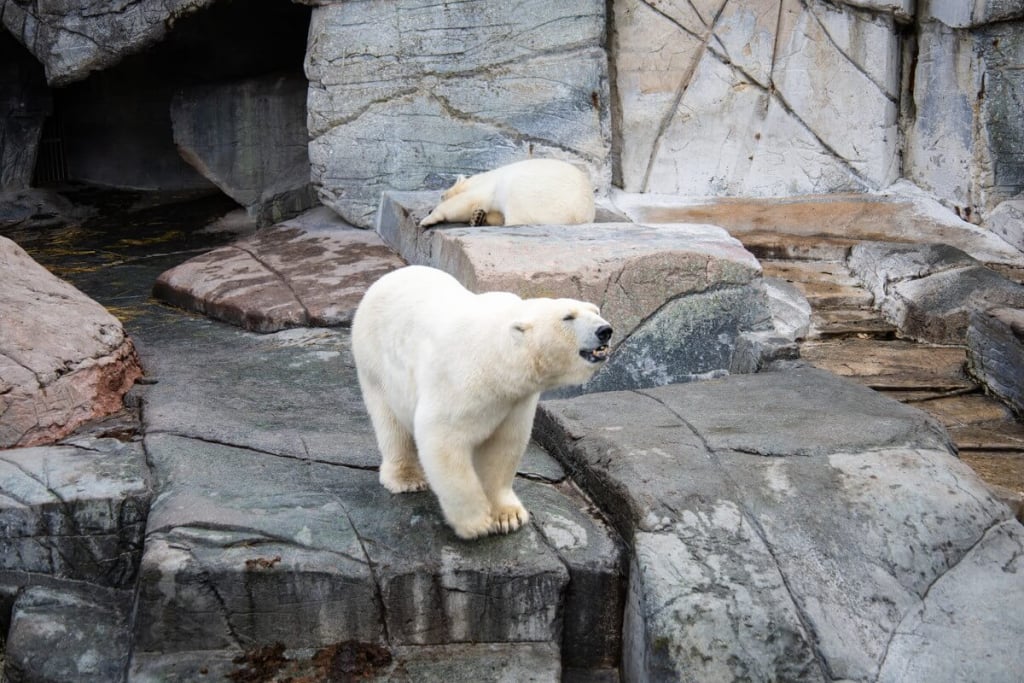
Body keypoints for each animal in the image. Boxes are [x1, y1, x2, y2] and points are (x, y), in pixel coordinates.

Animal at [352, 266, 610, 540]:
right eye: (568, 317)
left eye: (595, 311)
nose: (605, 330)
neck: (497, 359)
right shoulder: (458, 383)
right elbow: (443, 441)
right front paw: (476, 523)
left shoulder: (516, 402)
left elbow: (502, 448)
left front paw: (508, 517)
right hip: (374, 363)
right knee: (390, 422)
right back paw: (406, 478)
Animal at [415, 158, 593, 228]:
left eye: (441, 196)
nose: (428, 210)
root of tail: (579, 217)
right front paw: (478, 216)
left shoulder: (486, 187)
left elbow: (466, 201)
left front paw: (427, 219)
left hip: (535, 195)